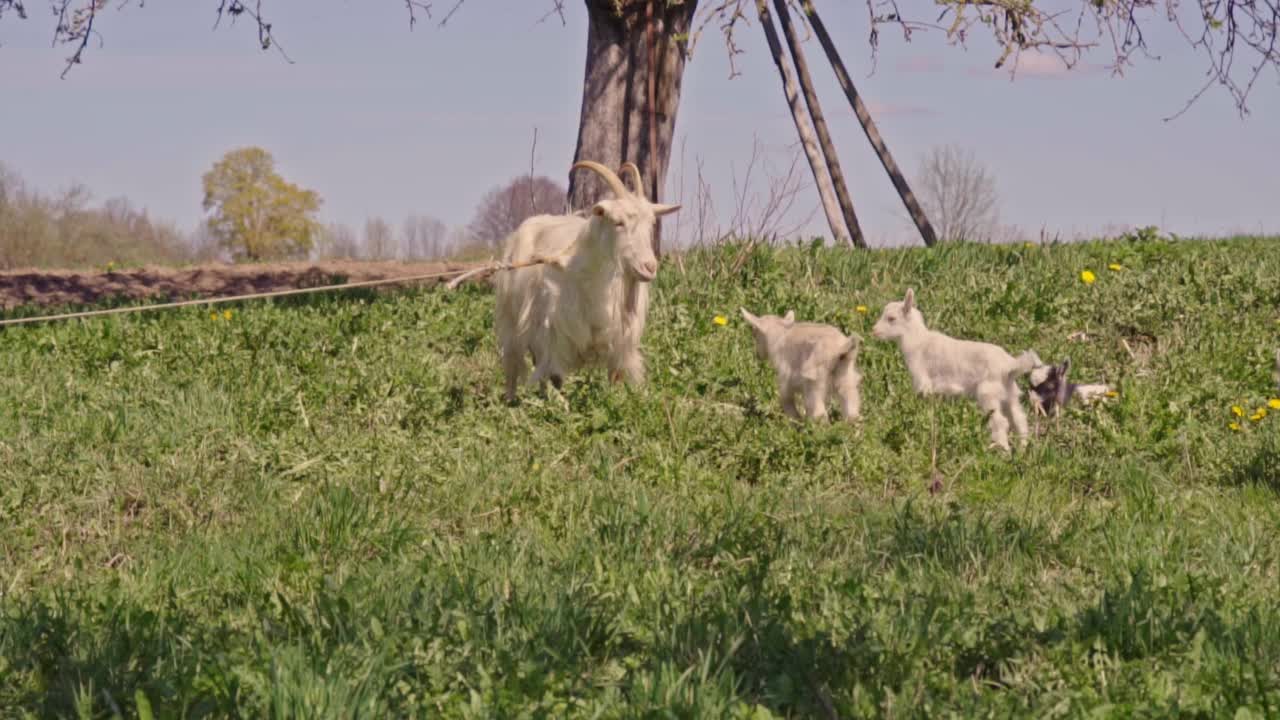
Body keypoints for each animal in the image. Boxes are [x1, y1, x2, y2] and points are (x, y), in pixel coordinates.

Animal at [494, 158, 680, 399]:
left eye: (651, 224)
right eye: (618, 222)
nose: (649, 267)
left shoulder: (620, 344)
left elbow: (615, 378)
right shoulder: (556, 335)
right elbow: (555, 377)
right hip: (512, 322)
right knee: (515, 365)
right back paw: (511, 400)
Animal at [870, 285, 1039, 448]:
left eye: (891, 318)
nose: (874, 331)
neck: (919, 342)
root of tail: (1010, 365)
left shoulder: (923, 383)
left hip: (988, 393)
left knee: (1001, 422)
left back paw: (1002, 450)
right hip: (1010, 395)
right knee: (1020, 420)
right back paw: (1022, 449)